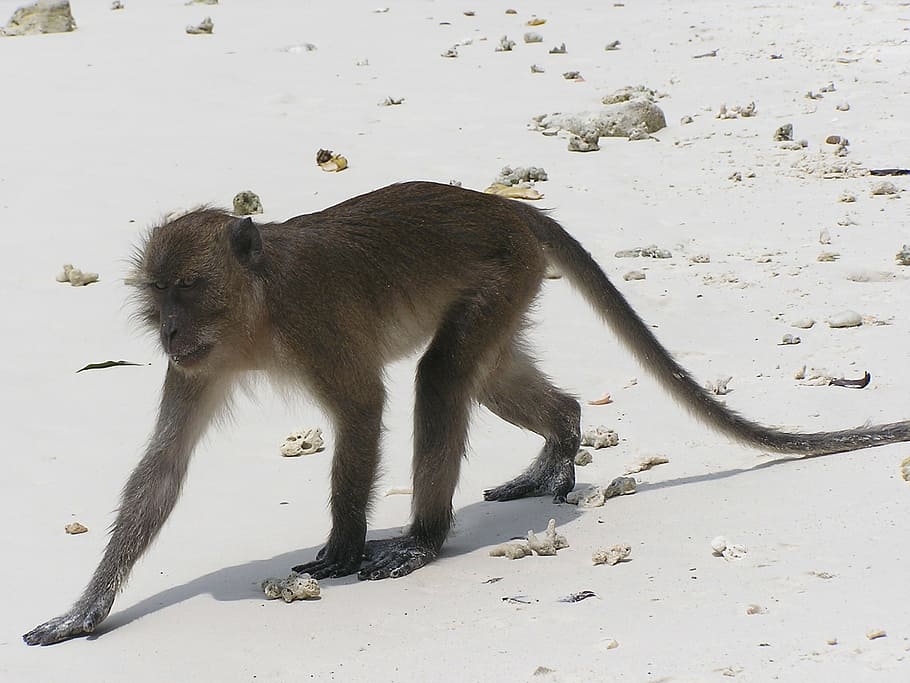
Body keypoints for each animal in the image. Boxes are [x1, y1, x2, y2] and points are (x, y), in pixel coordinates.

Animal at [24, 181, 910, 646]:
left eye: (191, 286)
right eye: (157, 295)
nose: (169, 330)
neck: (258, 310)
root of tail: (502, 203)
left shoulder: (312, 321)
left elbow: (366, 409)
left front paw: (343, 549)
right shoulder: (198, 367)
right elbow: (163, 470)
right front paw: (87, 607)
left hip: (502, 269)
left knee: (442, 376)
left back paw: (421, 539)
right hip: (513, 283)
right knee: (481, 378)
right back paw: (561, 438)